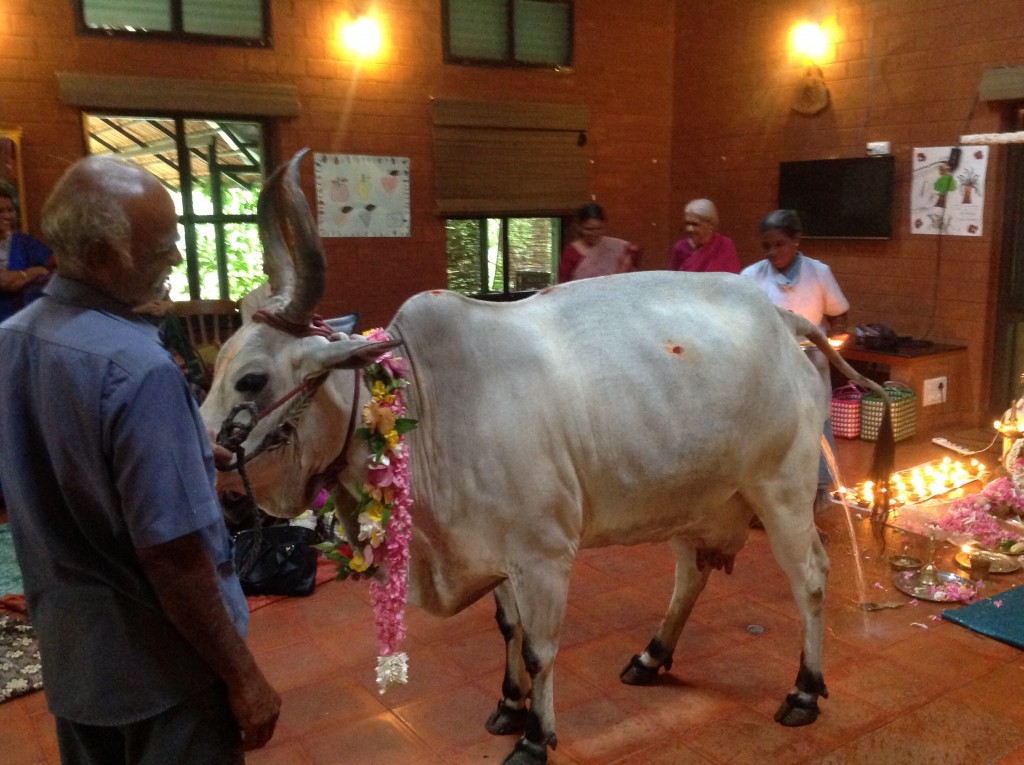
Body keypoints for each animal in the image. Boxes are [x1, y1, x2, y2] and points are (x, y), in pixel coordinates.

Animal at [203, 153, 892, 765]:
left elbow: (540, 649)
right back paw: (651, 656)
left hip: (782, 491)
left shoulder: (544, 556)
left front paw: (536, 736)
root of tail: (782, 320)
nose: (206, 457)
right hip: (692, 499)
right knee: (691, 574)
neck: (425, 404)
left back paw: (804, 689)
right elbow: (507, 631)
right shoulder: (498, 553)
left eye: (252, 379)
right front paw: (509, 706)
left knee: (811, 578)